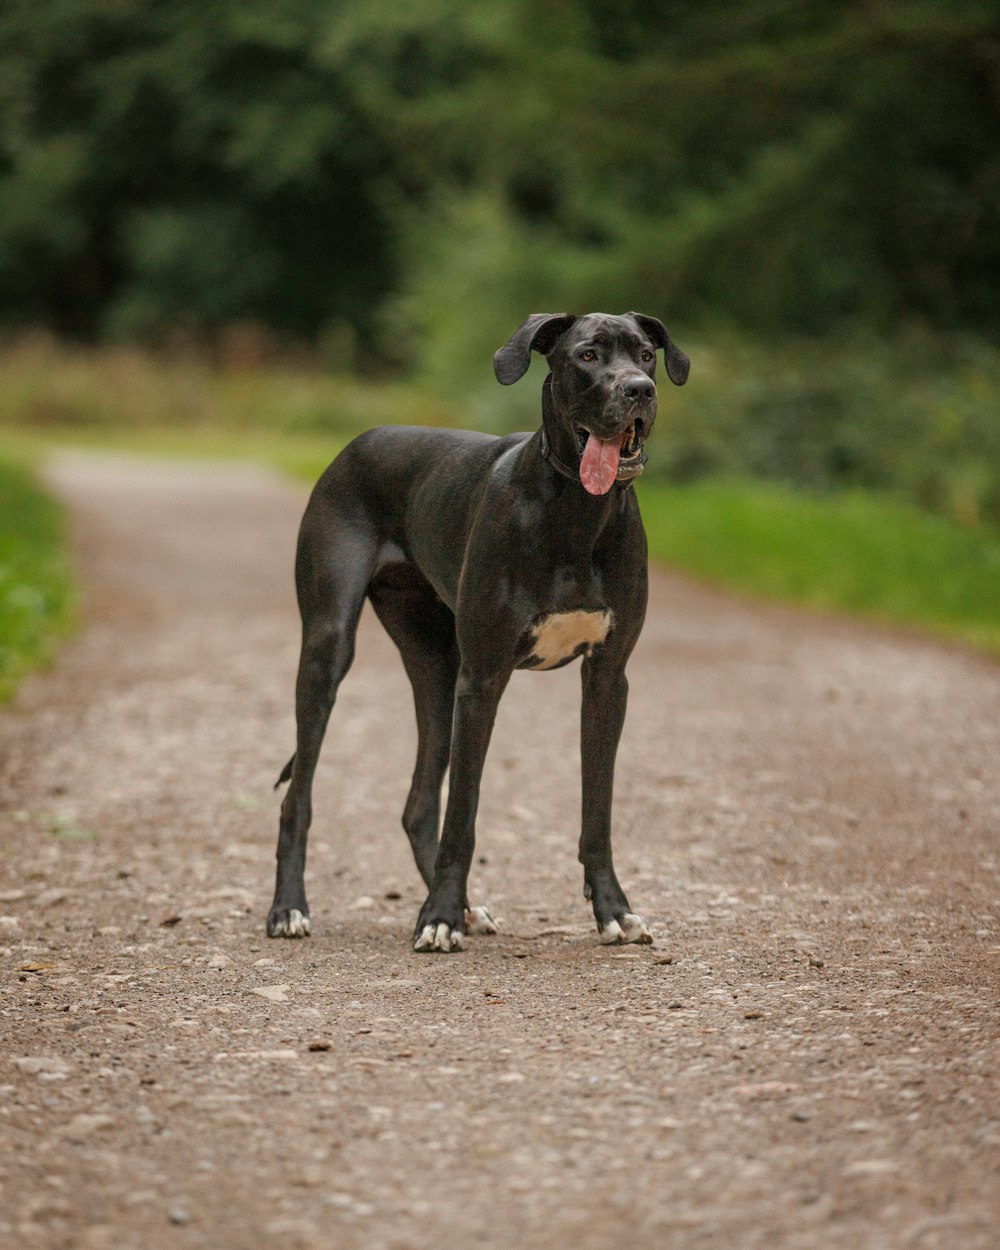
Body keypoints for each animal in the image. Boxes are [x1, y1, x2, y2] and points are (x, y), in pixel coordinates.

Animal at [265, 312, 690, 945]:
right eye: (587, 355)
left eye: (645, 355)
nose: (639, 389)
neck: (575, 511)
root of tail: (357, 442)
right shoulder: (484, 679)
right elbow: (463, 814)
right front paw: (439, 916)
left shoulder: (608, 679)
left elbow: (597, 811)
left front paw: (612, 909)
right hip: (330, 648)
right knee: (301, 796)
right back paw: (290, 908)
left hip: (437, 672)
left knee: (418, 805)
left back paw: (464, 908)